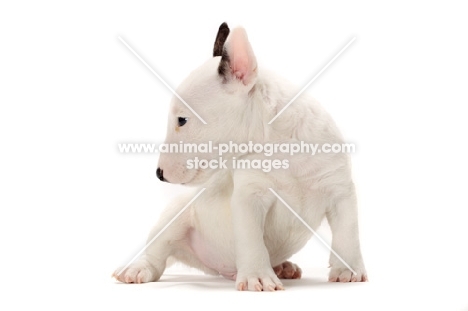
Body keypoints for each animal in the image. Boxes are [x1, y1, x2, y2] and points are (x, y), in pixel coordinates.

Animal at [115, 22, 368, 292]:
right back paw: (136, 268)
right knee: (157, 252)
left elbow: (347, 232)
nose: (159, 174)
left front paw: (348, 270)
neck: (281, 148)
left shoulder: (340, 189)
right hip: (175, 216)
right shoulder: (249, 196)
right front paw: (258, 276)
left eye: (182, 120)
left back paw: (283, 266)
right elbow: (251, 239)